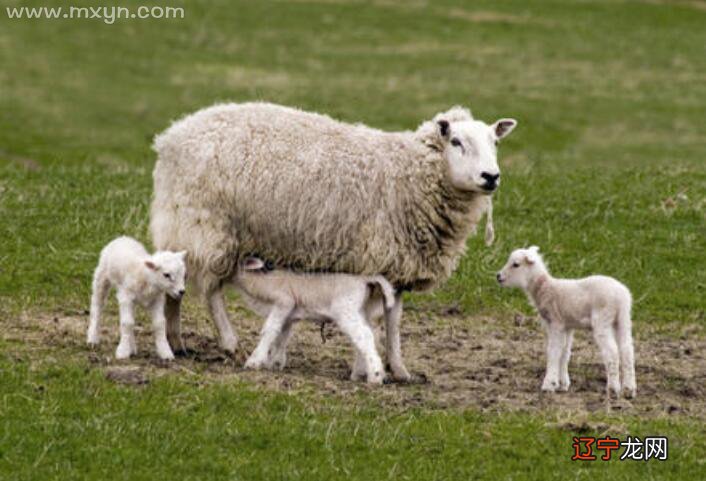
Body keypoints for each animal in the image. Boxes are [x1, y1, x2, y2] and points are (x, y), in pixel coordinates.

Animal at [151, 101, 516, 354]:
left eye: (495, 143)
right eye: (456, 141)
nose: (491, 177)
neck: (409, 174)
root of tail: (171, 136)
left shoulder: (397, 269)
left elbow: (394, 325)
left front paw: (397, 366)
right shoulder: (375, 261)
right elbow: (374, 323)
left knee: (178, 278)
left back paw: (177, 341)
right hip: (206, 224)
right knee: (211, 290)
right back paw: (226, 342)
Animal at [234, 256, 404, 384]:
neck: (259, 282)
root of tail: (366, 278)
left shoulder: (284, 301)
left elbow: (269, 330)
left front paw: (254, 361)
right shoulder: (288, 314)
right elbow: (281, 337)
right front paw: (275, 363)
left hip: (345, 308)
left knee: (364, 335)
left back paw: (375, 376)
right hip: (361, 308)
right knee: (366, 336)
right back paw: (359, 373)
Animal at [492, 246, 636, 396]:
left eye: (516, 264)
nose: (498, 276)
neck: (543, 288)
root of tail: (621, 296)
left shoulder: (556, 323)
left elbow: (553, 351)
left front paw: (549, 384)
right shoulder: (567, 326)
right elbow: (564, 353)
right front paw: (562, 384)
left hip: (602, 319)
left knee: (612, 352)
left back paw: (613, 389)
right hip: (623, 319)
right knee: (627, 350)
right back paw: (629, 389)